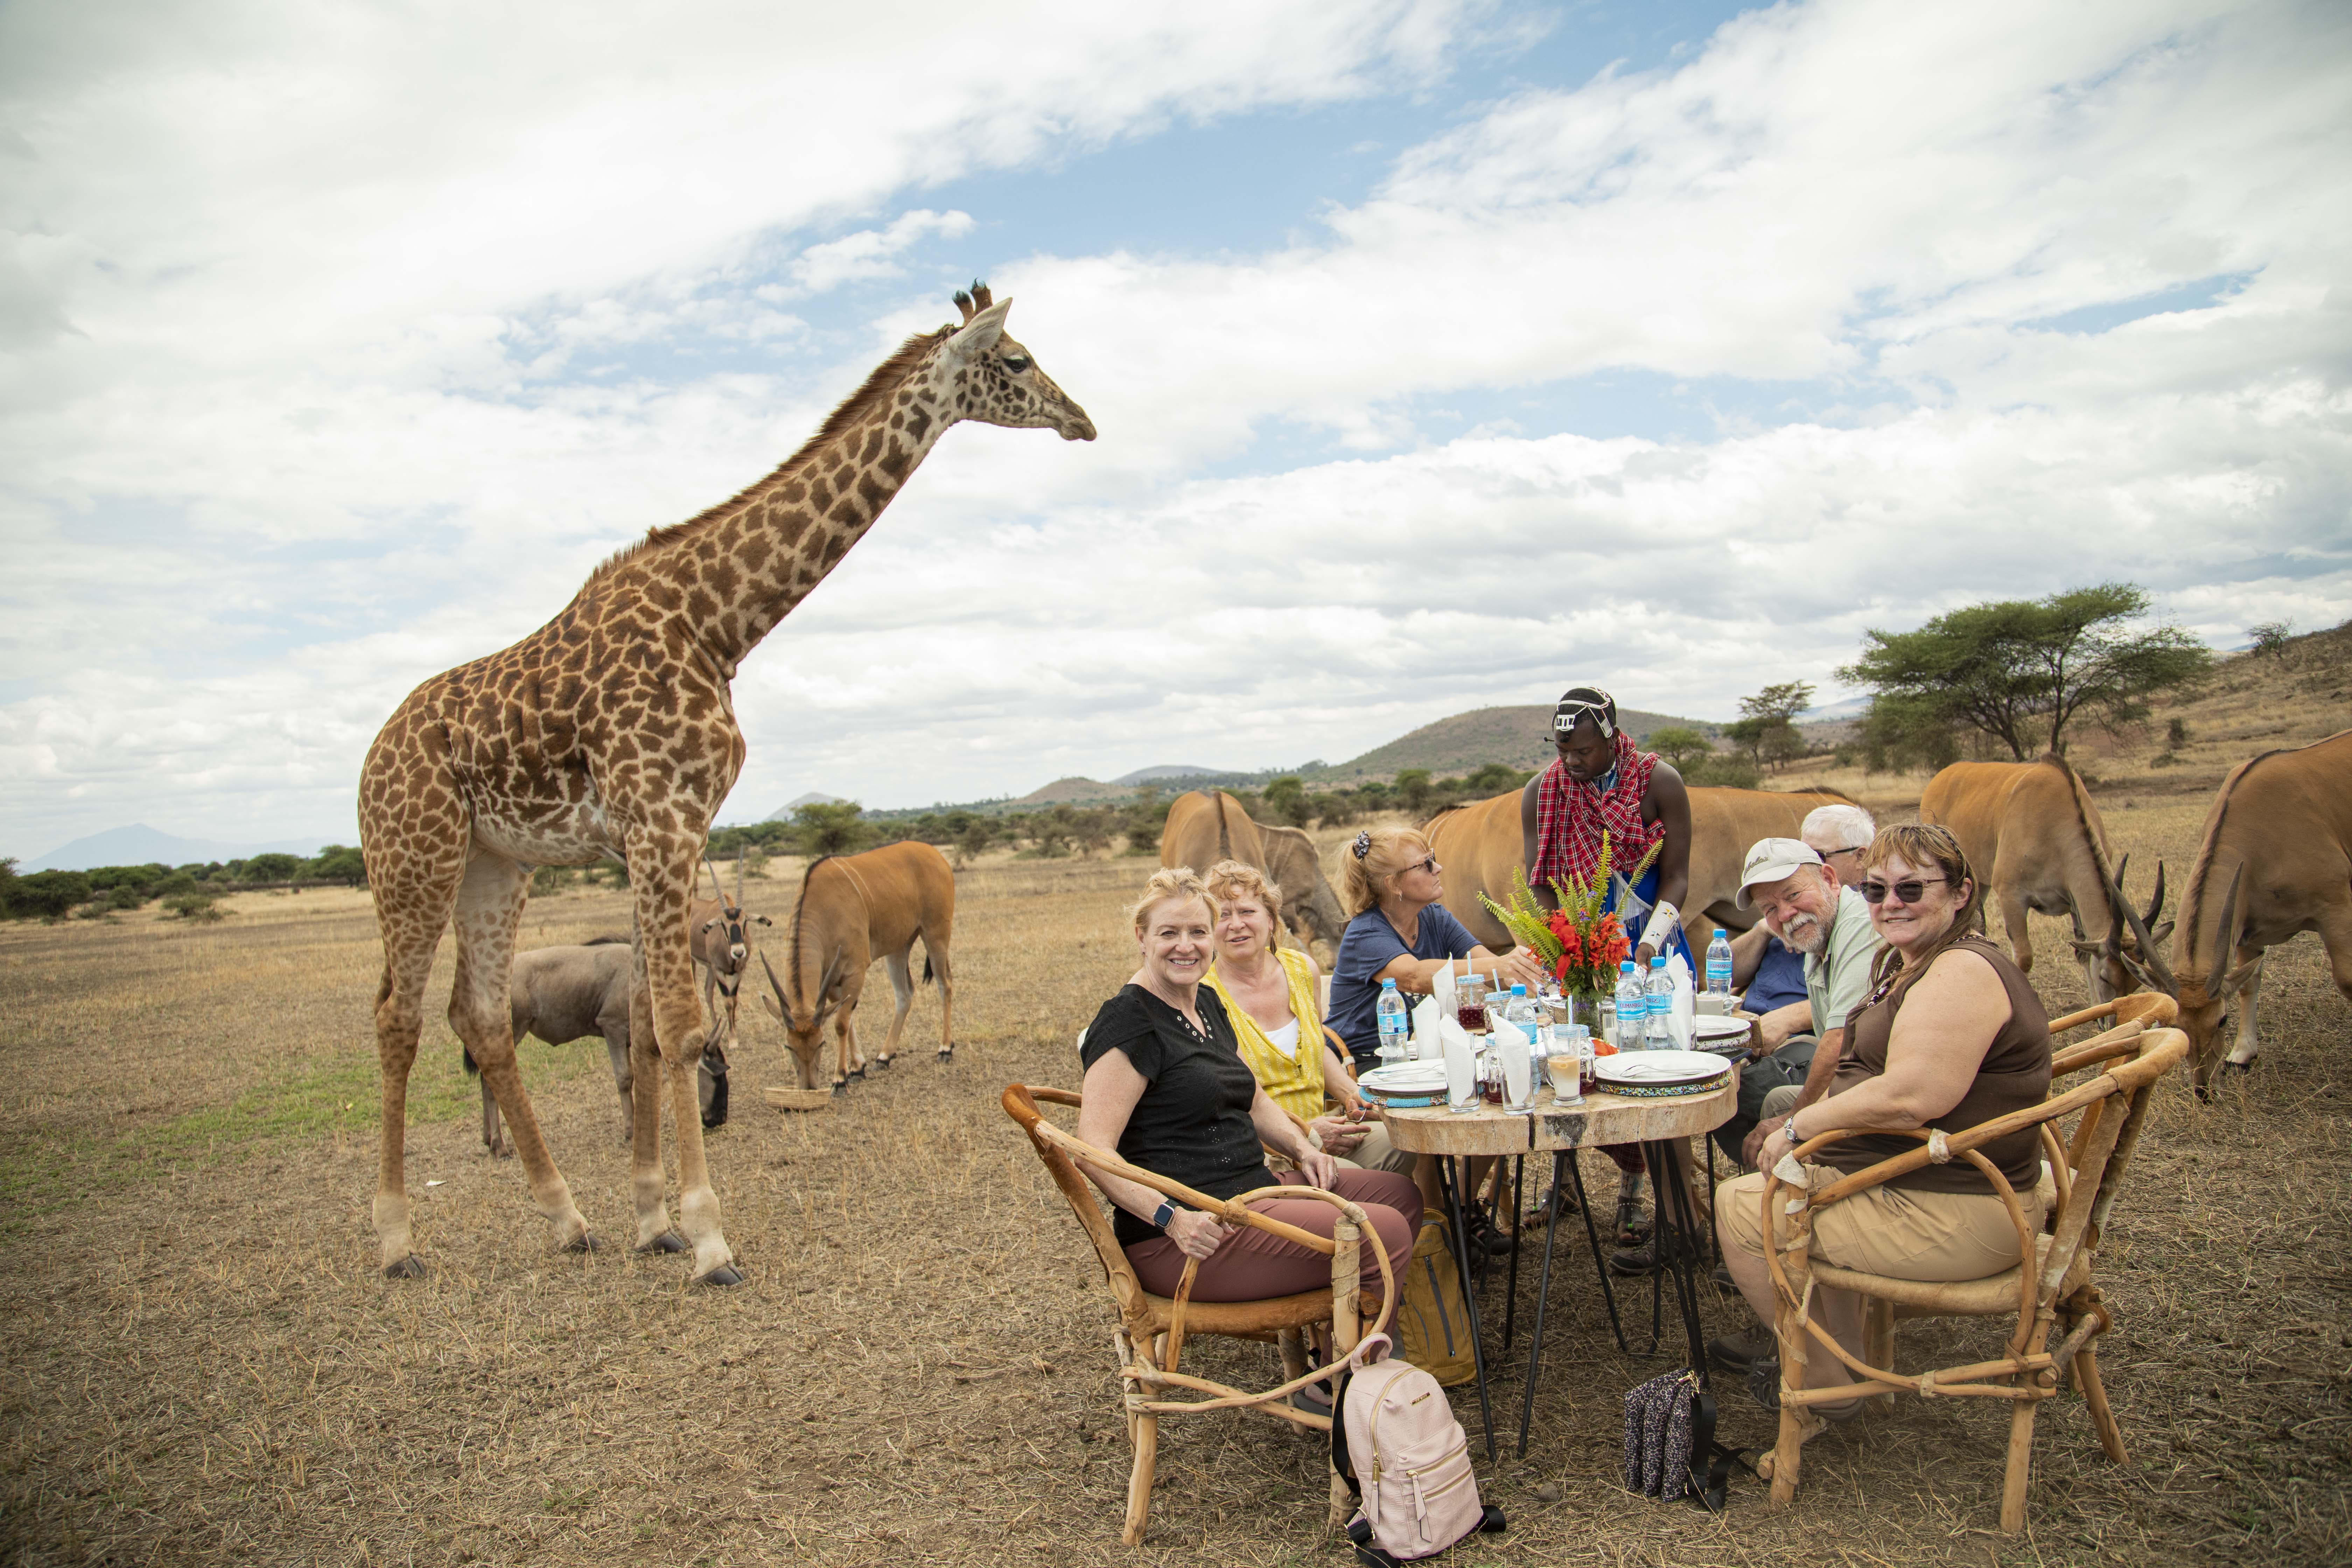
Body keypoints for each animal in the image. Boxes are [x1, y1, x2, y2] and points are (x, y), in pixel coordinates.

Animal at [357, 285, 1093, 1284]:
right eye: (1016, 360)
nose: (1082, 420)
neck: (716, 622)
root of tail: (372, 755)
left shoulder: (666, 825)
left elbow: (648, 1017)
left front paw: (648, 1219)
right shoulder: (658, 816)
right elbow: (676, 1022)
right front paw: (707, 1236)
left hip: (495, 863)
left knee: (479, 1018)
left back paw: (567, 1217)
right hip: (414, 856)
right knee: (397, 1016)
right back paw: (397, 1238)